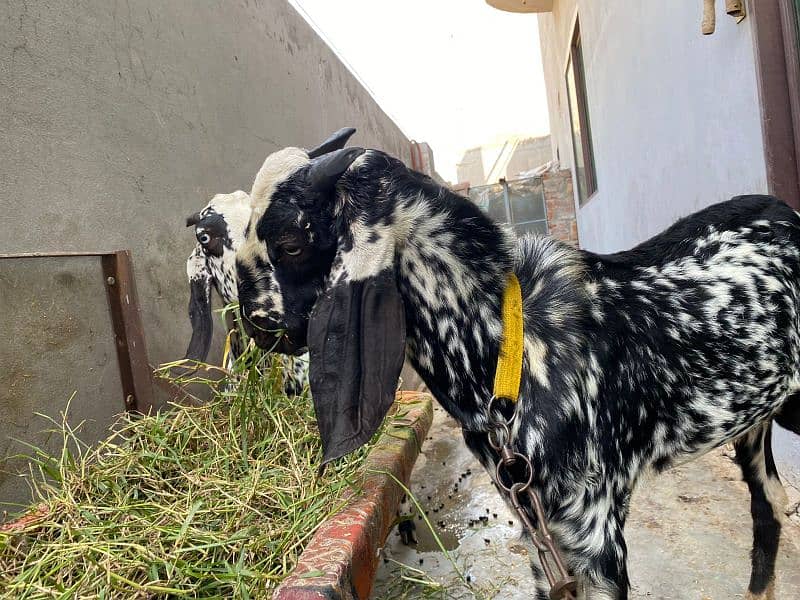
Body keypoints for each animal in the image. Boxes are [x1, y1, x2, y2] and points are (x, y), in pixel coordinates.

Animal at [234, 132, 800, 600]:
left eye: (290, 242)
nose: (252, 324)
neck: (508, 345)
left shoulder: (595, 530)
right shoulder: (538, 531)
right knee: (769, 500)